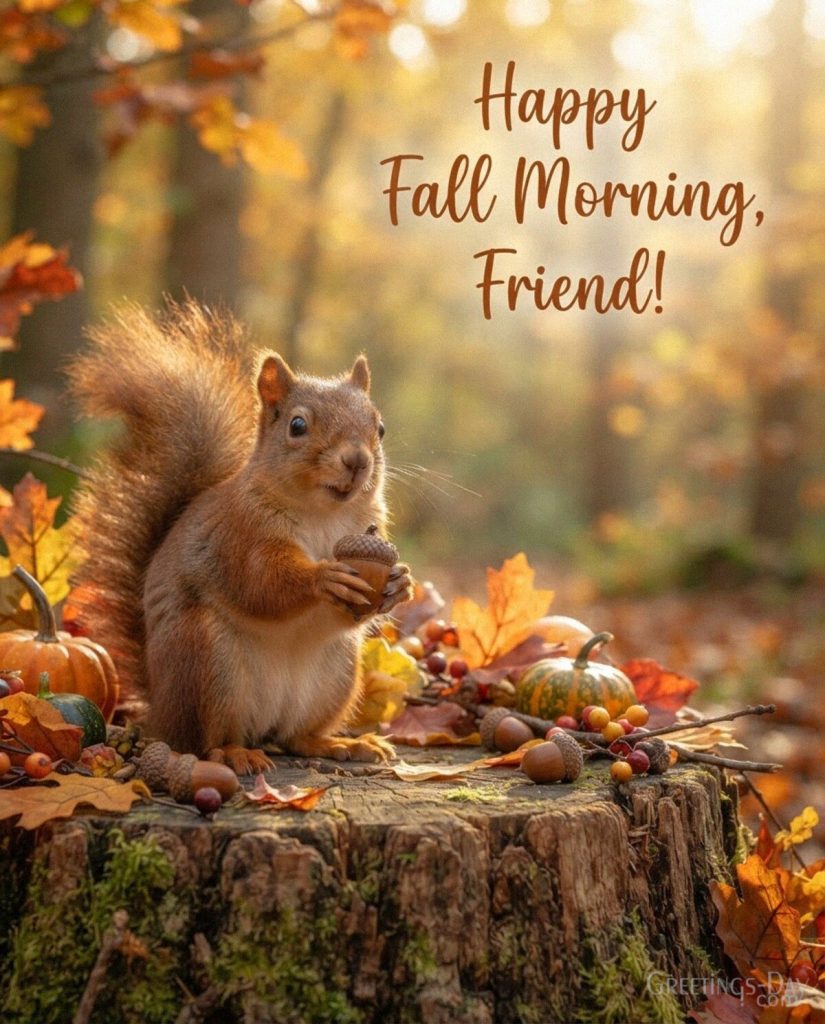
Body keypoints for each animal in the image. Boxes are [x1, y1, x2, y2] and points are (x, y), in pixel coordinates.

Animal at [69, 301, 412, 774]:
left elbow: (352, 611)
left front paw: (399, 584)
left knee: (295, 737)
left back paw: (339, 743)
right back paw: (233, 752)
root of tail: (159, 708)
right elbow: (260, 582)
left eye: (380, 428)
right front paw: (322, 578)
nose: (357, 460)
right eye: (297, 425)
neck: (324, 514)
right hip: (207, 663)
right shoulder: (239, 532)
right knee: (204, 741)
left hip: (337, 674)